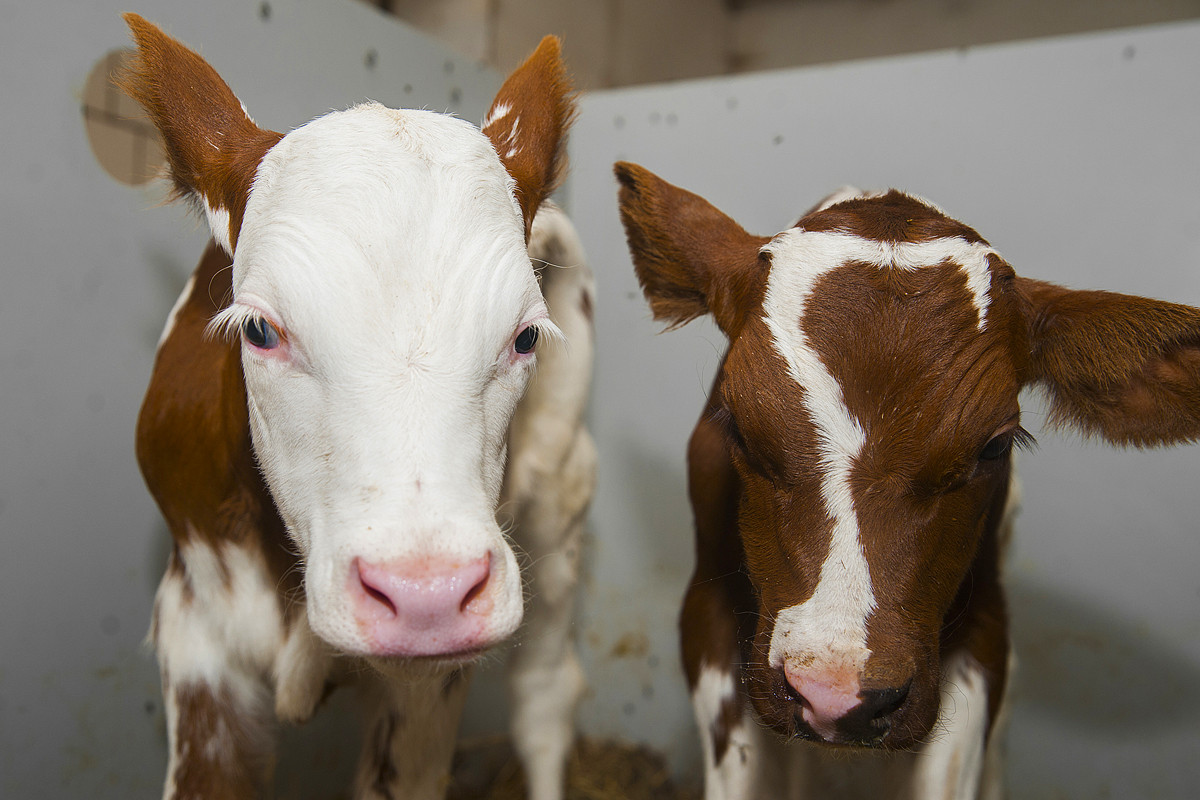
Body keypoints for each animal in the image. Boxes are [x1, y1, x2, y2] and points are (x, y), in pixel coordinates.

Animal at [124, 14, 597, 800]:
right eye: (260, 330)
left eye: (525, 335)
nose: (426, 594)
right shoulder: (198, 638)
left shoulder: (428, 688)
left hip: (559, 509)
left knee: (545, 696)